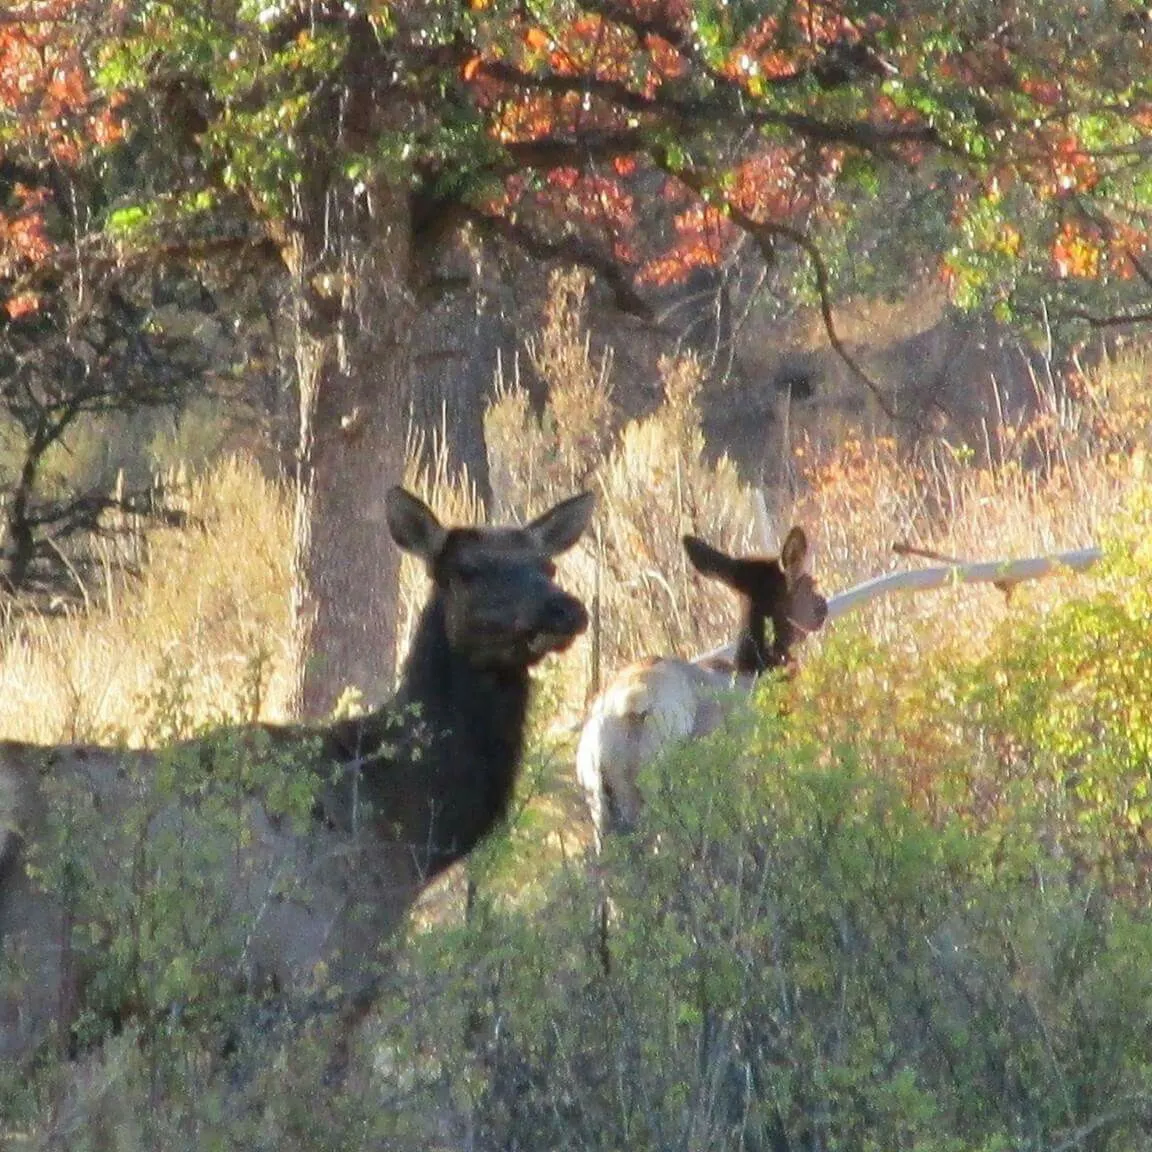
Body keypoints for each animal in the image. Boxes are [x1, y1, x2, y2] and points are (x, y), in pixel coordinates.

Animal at [0, 483, 594, 1069]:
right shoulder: (313, 975)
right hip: (34, 981)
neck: (399, 831)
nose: (566, 609)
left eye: (548, 566)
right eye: (464, 570)